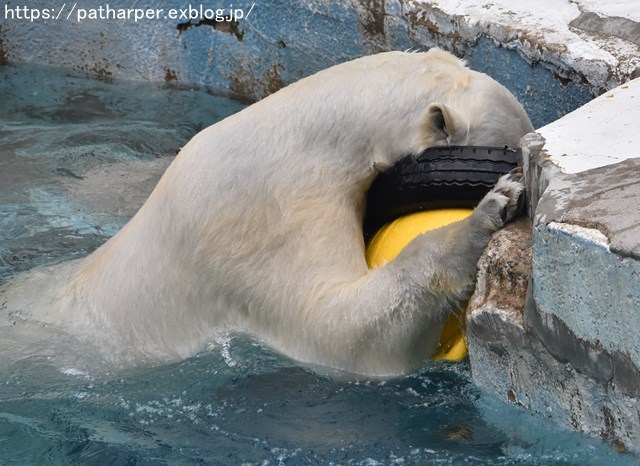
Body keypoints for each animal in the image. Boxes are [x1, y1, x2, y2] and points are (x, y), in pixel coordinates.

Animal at [0, 49, 532, 376]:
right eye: (511, 151)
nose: (516, 168)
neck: (300, 135)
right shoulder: (267, 216)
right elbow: (340, 330)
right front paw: (486, 213)